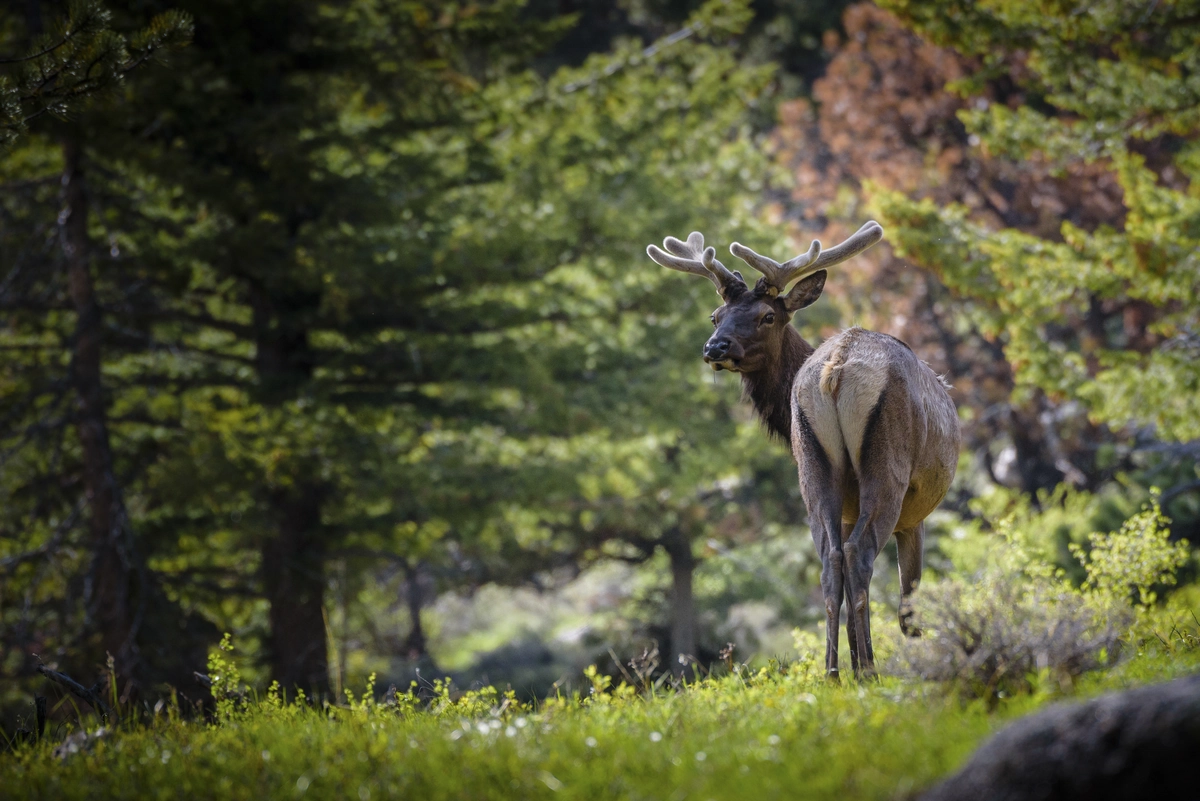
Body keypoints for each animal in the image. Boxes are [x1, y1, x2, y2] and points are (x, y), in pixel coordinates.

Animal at [646, 222, 960, 679]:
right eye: (716, 316)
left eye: (767, 315)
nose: (714, 348)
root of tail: (835, 369)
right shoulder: (916, 514)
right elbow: (910, 605)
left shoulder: (846, 506)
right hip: (889, 468)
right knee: (859, 554)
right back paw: (868, 670)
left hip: (814, 466)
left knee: (831, 559)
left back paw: (833, 672)